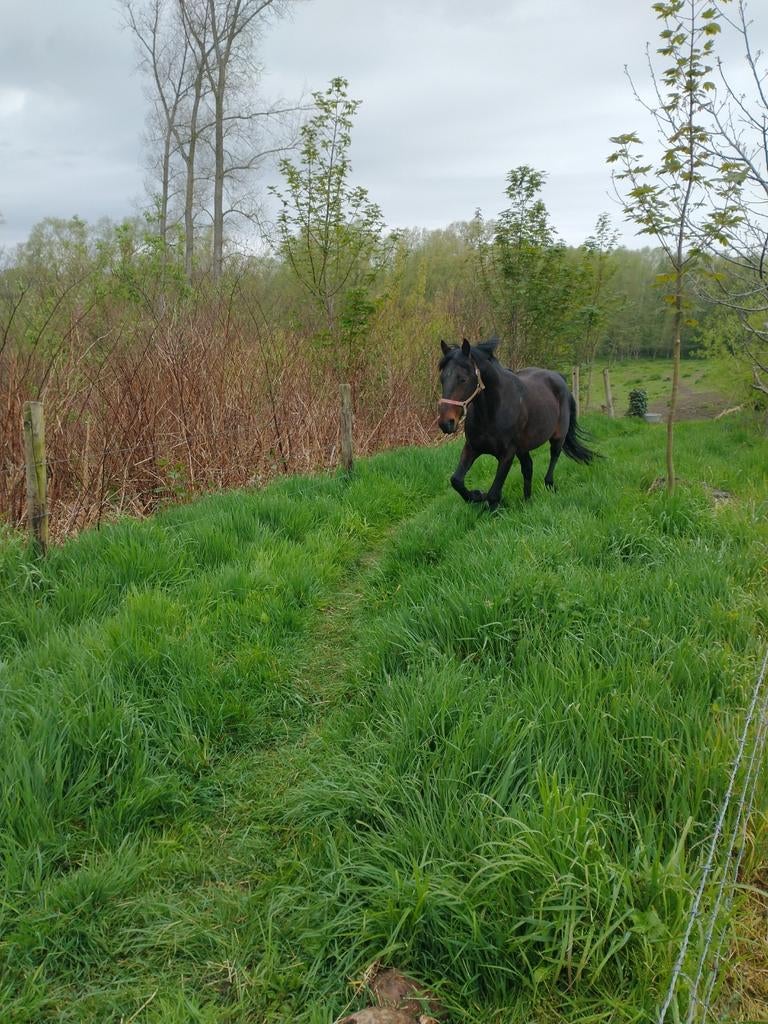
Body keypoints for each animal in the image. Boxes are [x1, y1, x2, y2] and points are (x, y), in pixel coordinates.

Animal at [437, 338, 599, 509]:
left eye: (463, 379)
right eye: (442, 379)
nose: (446, 423)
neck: (492, 412)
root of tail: (558, 377)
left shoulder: (507, 453)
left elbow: (494, 493)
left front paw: (489, 502)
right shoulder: (472, 447)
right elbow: (456, 481)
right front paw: (477, 495)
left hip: (557, 437)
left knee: (553, 457)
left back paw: (549, 486)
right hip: (523, 448)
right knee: (528, 467)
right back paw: (527, 500)